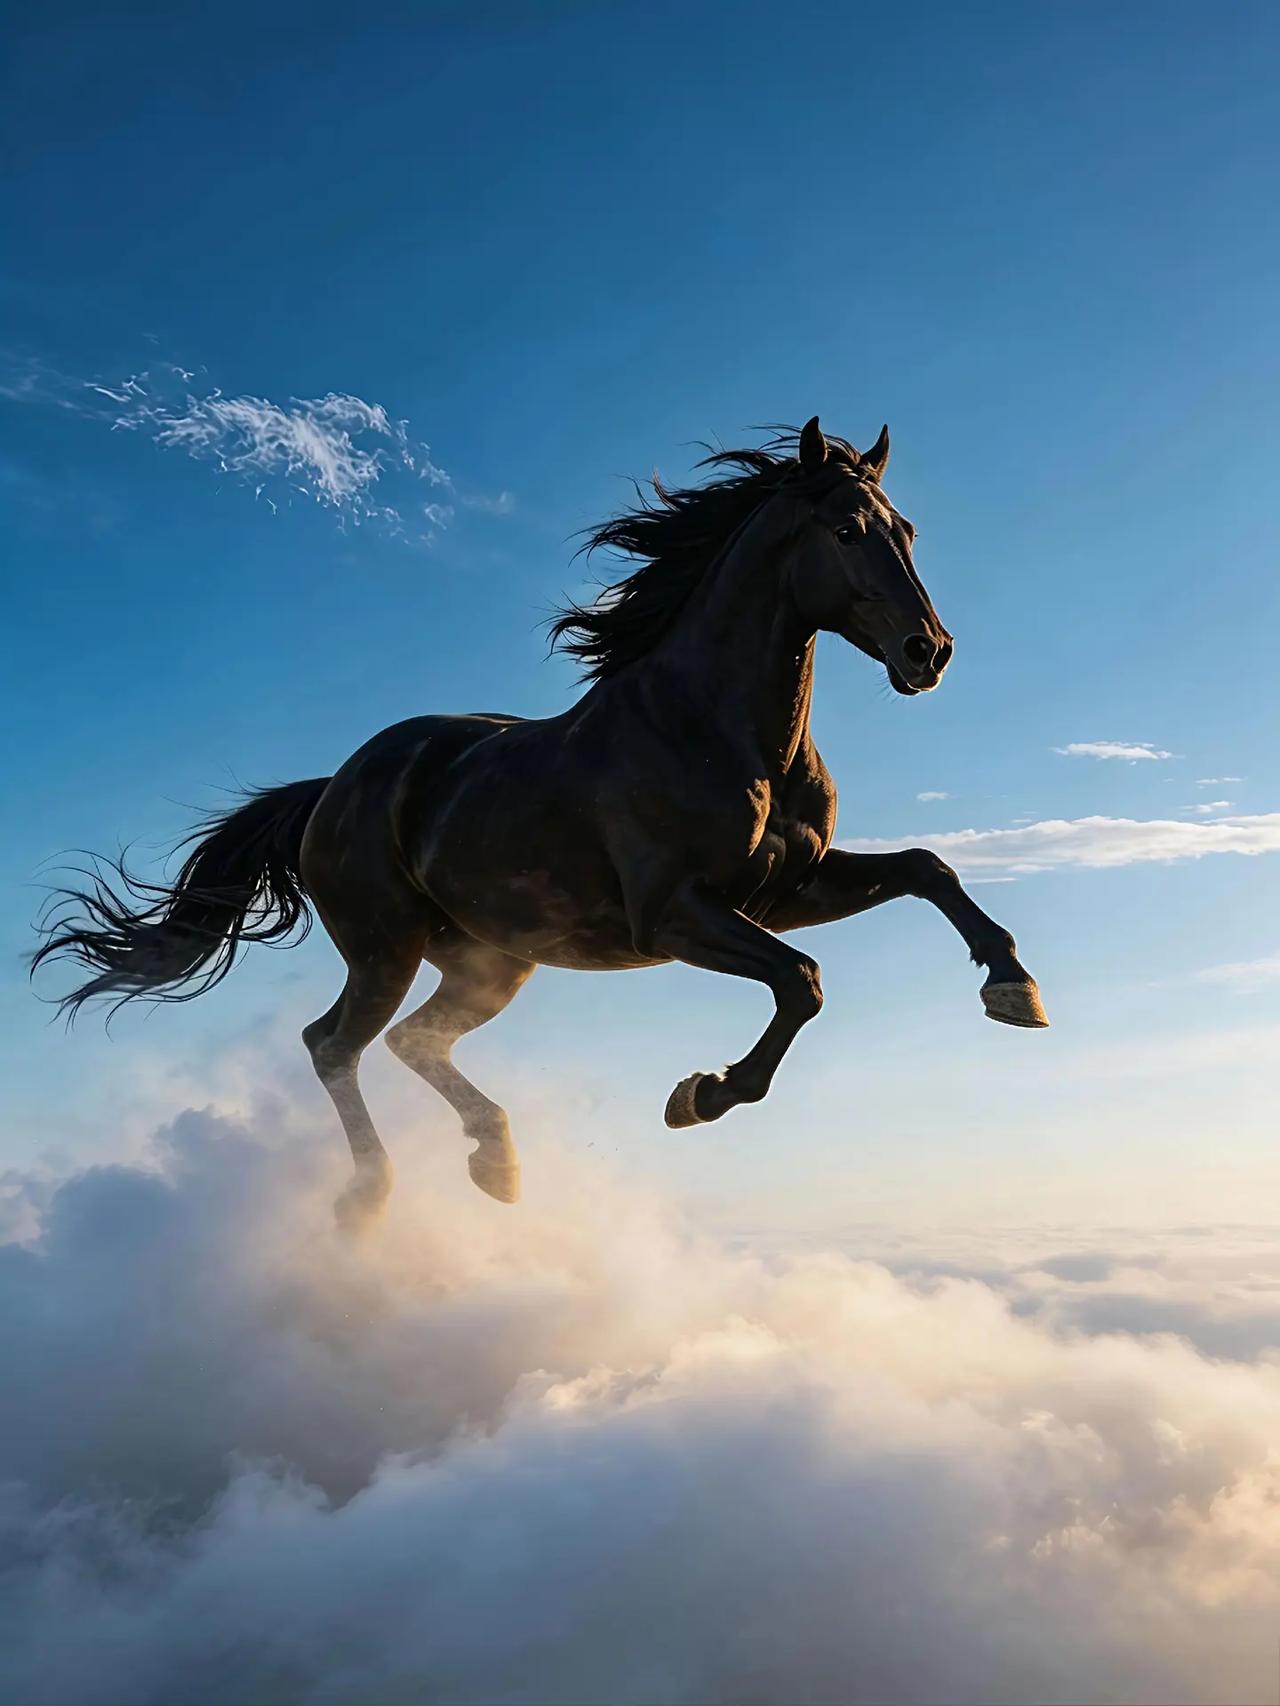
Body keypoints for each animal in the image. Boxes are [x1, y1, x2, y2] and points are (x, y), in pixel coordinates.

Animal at [34, 417, 1047, 1227]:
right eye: (844, 530)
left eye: (905, 530)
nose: (928, 652)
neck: (716, 727)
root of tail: (332, 788)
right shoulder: (674, 914)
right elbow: (802, 981)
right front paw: (701, 1094)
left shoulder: (788, 888)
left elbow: (925, 867)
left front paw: (1014, 988)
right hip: (386, 946)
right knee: (335, 1044)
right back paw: (372, 1193)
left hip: (492, 961)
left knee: (413, 1041)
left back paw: (497, 1162)